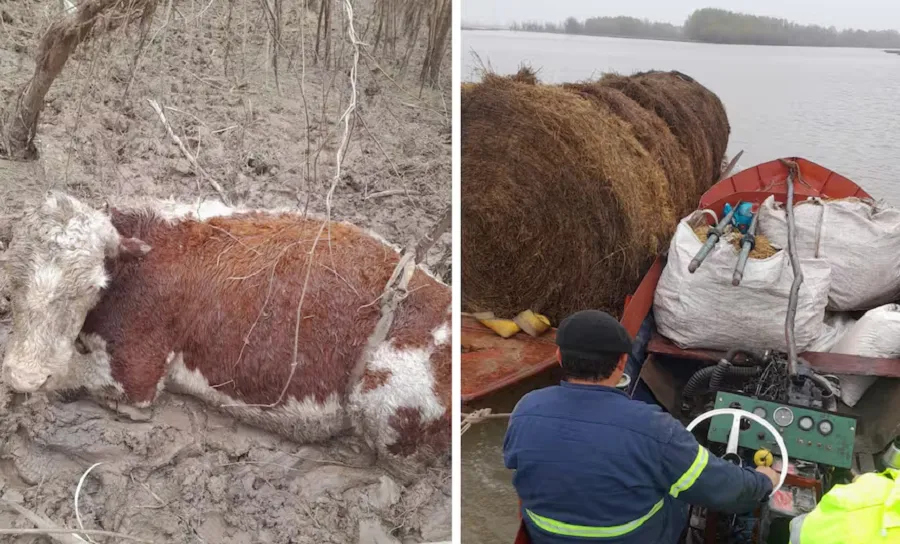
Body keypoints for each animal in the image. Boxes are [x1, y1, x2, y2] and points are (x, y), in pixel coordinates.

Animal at [0, 193, 450, 482]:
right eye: (12, 281)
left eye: (91, 287)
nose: (24, 374)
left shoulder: (135, 375)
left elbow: (70, 379)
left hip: (383, 395)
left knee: (400, 471)